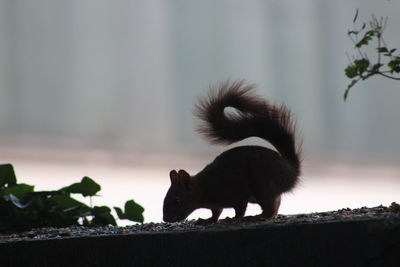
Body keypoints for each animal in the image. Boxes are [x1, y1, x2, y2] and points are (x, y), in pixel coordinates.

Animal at [162, 80, 300, 224]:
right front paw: (208, 220)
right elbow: (216, 212)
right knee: (276, 204)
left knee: (270, 207)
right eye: (165, 198)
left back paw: (258, 216)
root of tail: (292, 171)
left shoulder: (237, 193)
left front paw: (235, 218)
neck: (203, 187)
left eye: (177, 201)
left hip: (263, 183)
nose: (165, 219)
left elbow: (240, 209)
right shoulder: (215, 205)